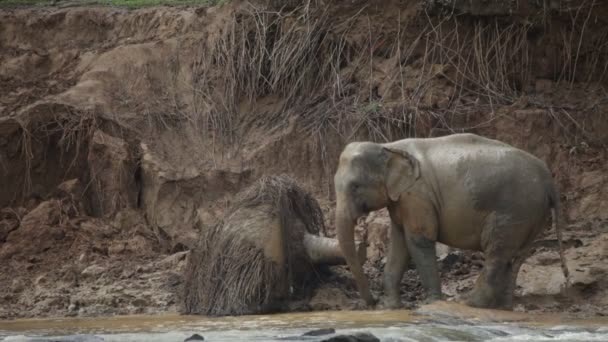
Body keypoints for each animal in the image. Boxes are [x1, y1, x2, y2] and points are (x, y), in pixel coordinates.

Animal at [332, 133, 568, 310]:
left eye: (355, 186)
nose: (372, 302)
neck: (389, 147)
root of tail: (549, 179)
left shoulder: (417, 195)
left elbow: (418, 240)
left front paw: (431, 303)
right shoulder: (401, 200)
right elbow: (399, 244)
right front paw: (390, 308)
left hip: (514, 210)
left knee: (497, 252)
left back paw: (470, 304)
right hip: (533, 215)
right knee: (515, 258)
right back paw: (503, 308)